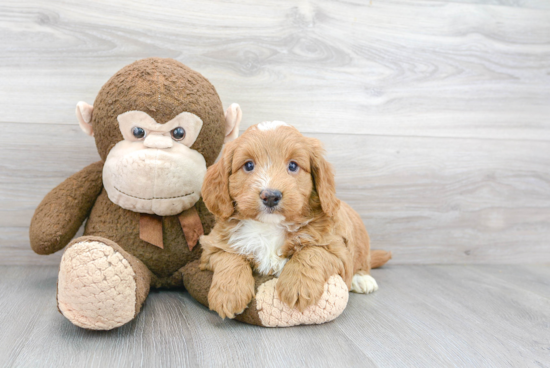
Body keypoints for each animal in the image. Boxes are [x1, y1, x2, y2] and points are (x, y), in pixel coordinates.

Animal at [201, 121, 390, 320]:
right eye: (249, 165)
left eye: (293, 166)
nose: (270, 196)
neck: (270, 226)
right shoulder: (213, 245)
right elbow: (229, 258)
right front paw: (229, 294)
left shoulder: (336, 247)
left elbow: (312, 252)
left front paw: (298, 285)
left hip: (360, 239)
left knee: (362, 262)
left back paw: (362, 279)